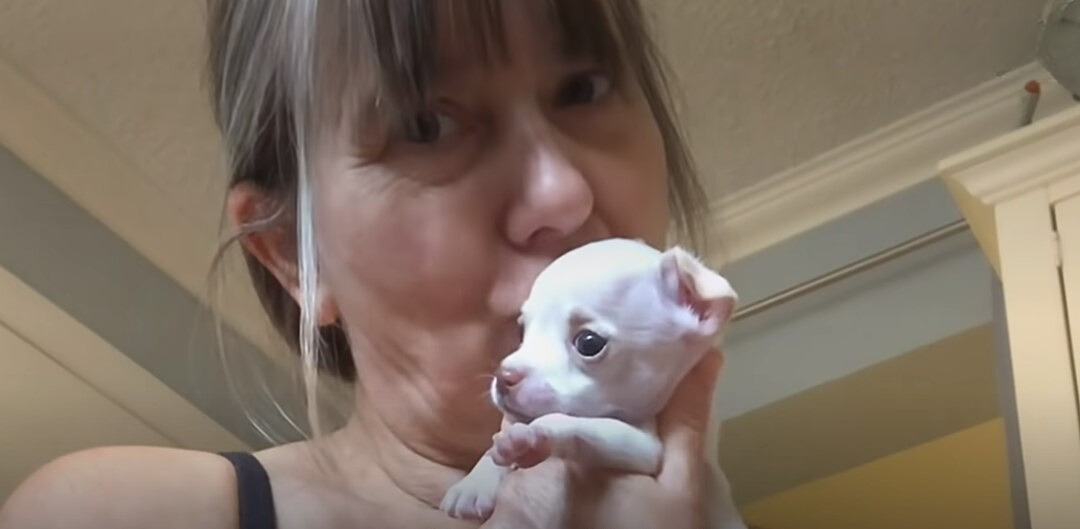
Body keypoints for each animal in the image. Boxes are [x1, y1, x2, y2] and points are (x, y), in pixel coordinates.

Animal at [438, 239, 743, 529]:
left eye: (588, 343)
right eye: (522, 330)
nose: (504, 376)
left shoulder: (646, 449)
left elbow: (582, 425)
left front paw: (535, 435)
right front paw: (476, 482)